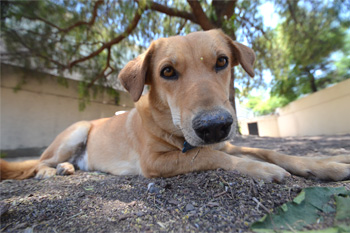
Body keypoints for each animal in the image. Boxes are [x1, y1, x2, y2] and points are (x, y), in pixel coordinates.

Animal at [0, 29, 350, 182]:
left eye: (222, 61)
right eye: (167, 72)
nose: (215, 127)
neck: (171, 126)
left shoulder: (226, 144)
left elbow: (269, 150)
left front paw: (328, 162)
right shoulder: (156, 161)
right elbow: (207, 156)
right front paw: (263, 170)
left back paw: (69, 167)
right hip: (77, 131)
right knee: (38, 163)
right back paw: (52, 170)